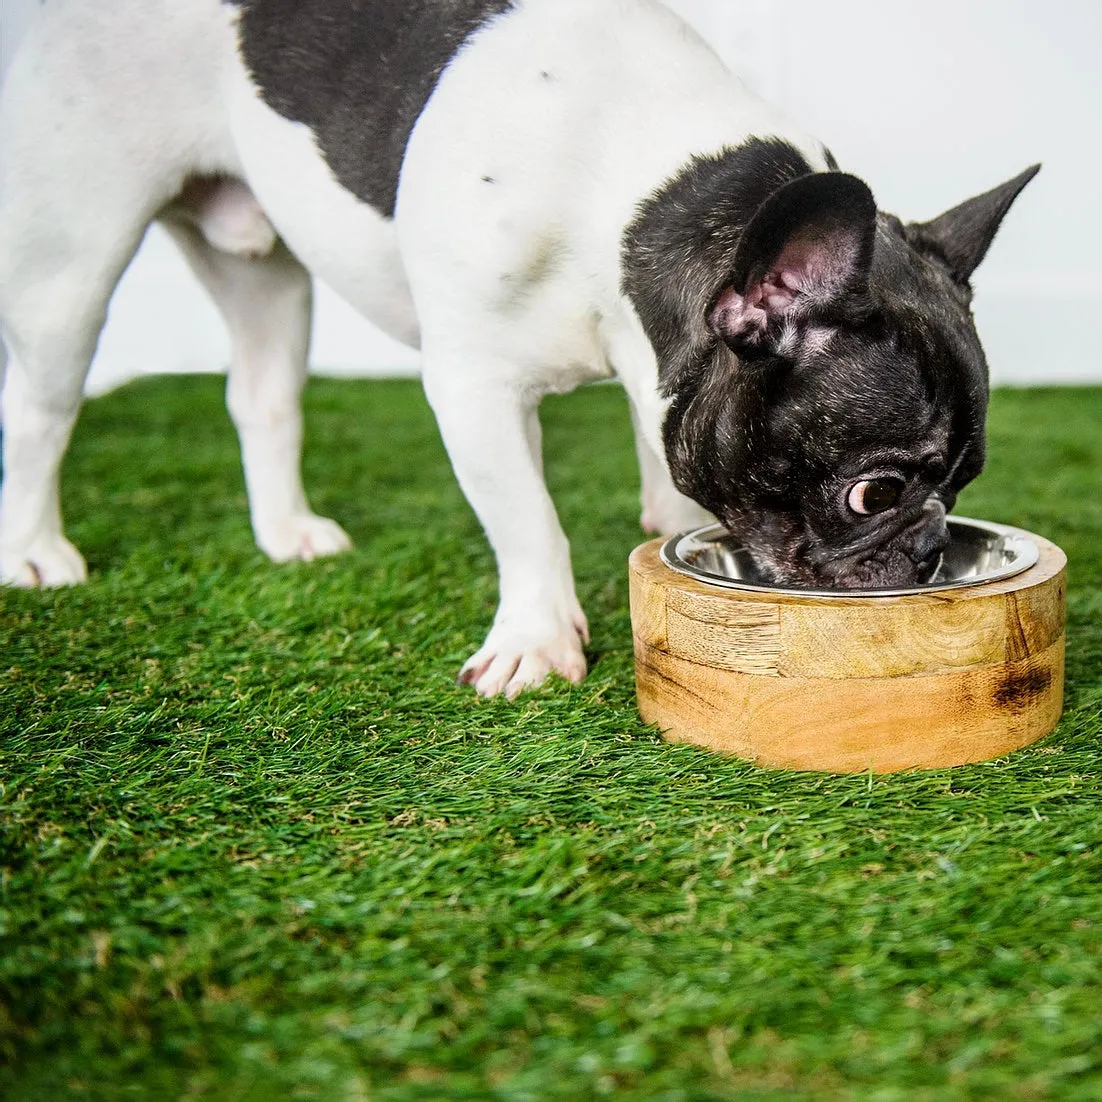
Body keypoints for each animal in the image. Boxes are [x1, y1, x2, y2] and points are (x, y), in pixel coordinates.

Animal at [0, 4, 1031, 696]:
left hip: (265, 277)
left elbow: (654, 452)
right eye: (875, 494)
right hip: (72, 263)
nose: (931, 548)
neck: (633, 199)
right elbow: (528, 520)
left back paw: (287, 532)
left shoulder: (653, 367)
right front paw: (537, 643)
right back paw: (37, 552)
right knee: (43, 410)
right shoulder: (474, 386)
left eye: (962, 485)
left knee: (263, 395)